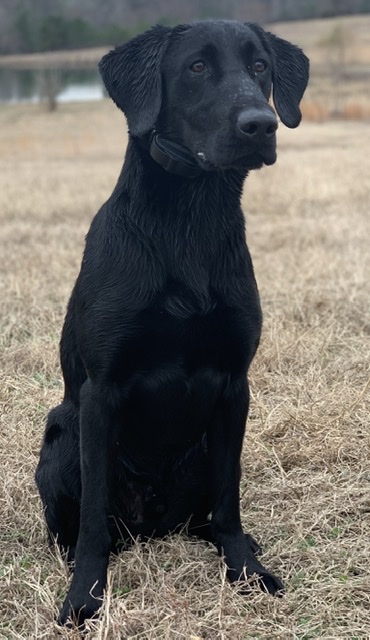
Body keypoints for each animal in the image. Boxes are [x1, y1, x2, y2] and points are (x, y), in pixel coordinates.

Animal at [34, 20, 308, 624]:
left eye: (260, 66)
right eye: (197, 67)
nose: (261, 124)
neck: (190, 222)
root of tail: (154, 524)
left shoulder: (234, 387)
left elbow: (229, 500)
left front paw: (246, 571)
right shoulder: (100, 392)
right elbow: (93, 519)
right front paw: (84, 598)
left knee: (208, 513)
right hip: (62, 432)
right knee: (78, 525)